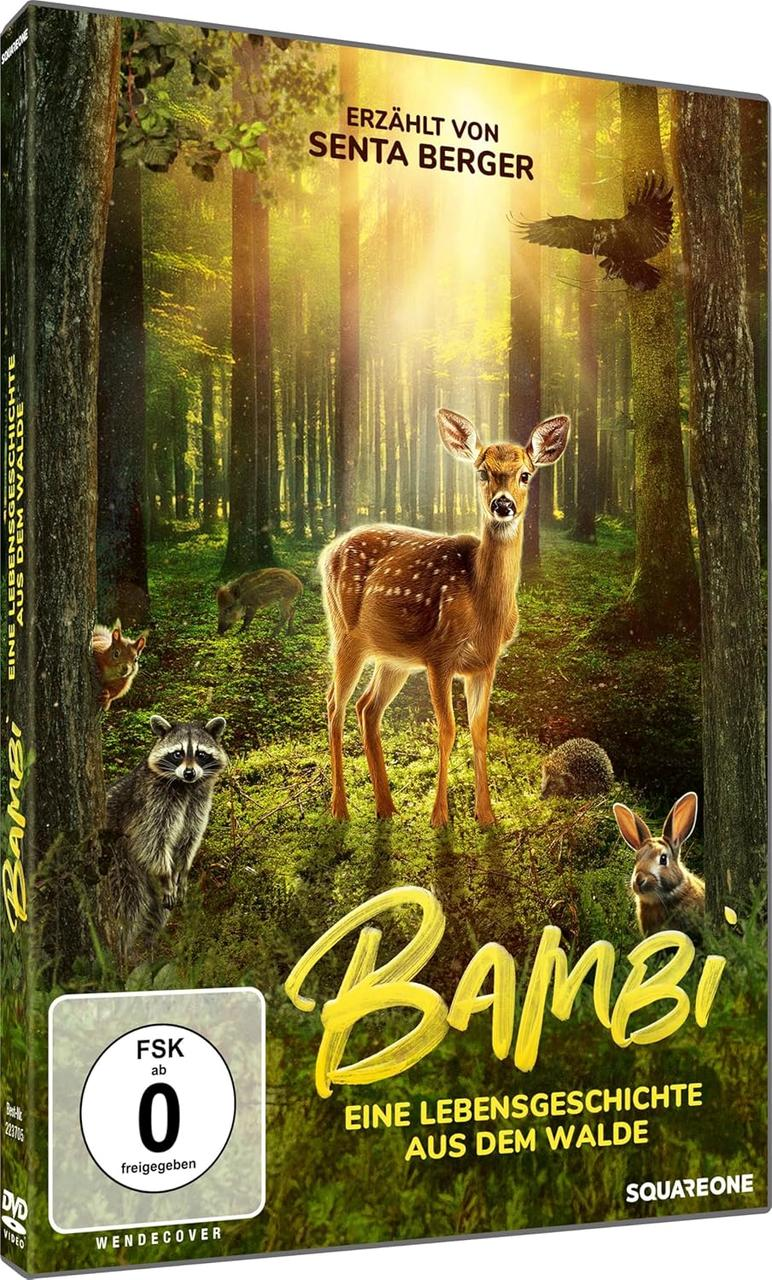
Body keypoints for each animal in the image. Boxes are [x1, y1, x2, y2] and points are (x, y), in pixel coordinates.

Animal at [319, 407, 570, 827]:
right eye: (482, 472)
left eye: (525, 474)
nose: (503, 505)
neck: (483, 608)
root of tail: (326, 553)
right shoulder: (439, 656)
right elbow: (448, 730)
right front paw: (440, 817)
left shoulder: (485, 664)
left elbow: (479, 730)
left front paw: (486, 815)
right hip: (346, 636)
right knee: (334, 705)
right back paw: (341, 809)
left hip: (394, 658)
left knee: (367, 708)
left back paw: (386, 807)